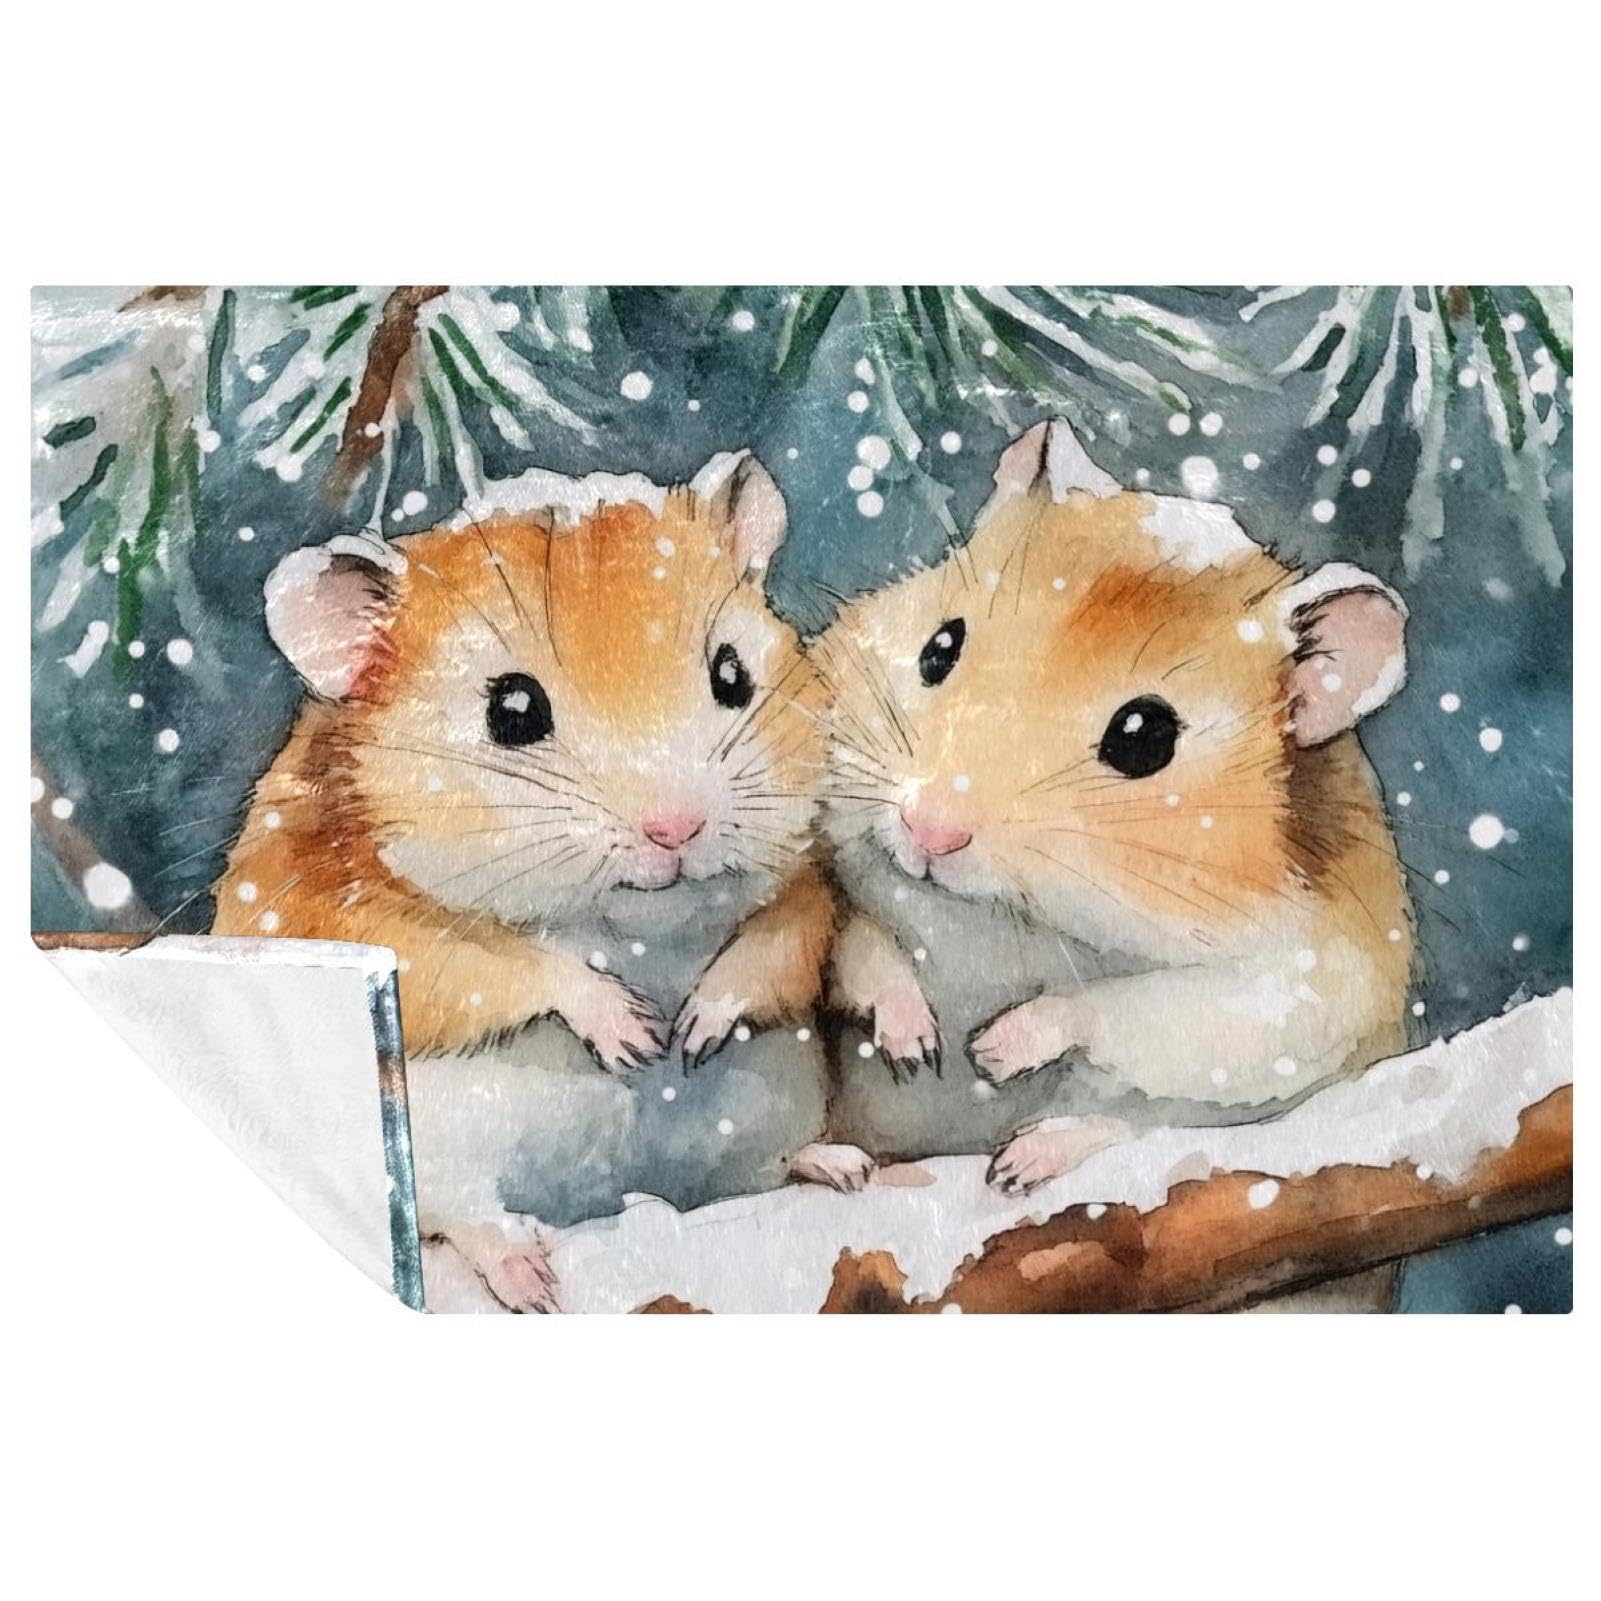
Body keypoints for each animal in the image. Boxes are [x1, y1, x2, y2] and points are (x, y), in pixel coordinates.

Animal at [214, 450, 871, 1309]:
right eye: (513, 709)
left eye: (731, 674)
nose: (676, 828)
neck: (635, 927)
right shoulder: (367, 921)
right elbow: (512, 963)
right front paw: (635, 1036)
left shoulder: (804, 883)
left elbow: (777, 938)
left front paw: (692, 1029)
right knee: (465, 1216)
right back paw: (527, 1276)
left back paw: (840, 1166)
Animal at [816, 419, 1413, 1195]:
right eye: (939, 647)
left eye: (1144, 737)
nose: (928, 830)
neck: (997, 926)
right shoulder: (853, 898)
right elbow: (865, 949)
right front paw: (916, 1045)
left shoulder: (1294, 991)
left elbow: (1123, 1010)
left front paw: (991, 1052)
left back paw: (1022, 1161)